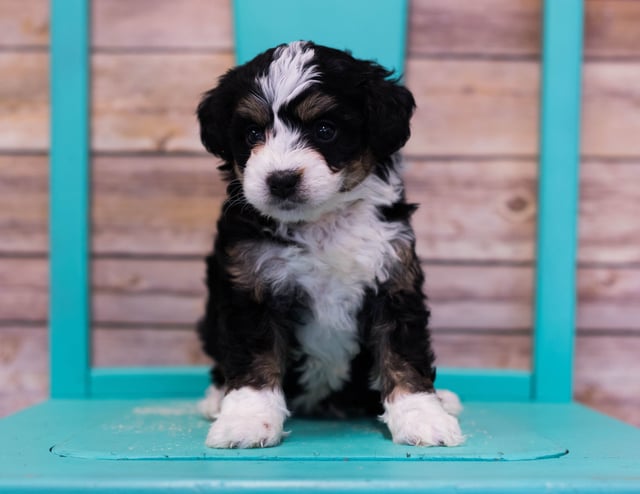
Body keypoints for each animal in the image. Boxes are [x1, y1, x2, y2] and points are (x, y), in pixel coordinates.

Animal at [194, 41, 460, 448]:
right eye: (253, 133)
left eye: (325, 130)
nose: (281, 180)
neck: (321, 222)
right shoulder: (252, 283)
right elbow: (254, 357)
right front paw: (247, 421)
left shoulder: (393, 276)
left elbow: (402, 351)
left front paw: (422, 417)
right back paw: (215, 398)